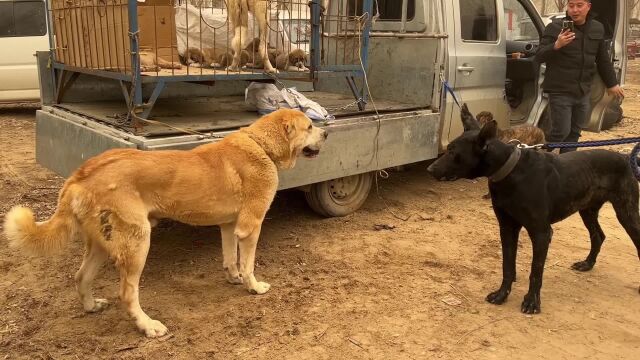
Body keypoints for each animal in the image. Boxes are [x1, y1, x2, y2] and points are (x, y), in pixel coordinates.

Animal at [2, 109, 328, 338]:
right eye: (309, 127)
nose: (326, 134)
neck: (260, 145)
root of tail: (82, 173)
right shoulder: (250, 226)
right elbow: (247, 263)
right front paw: (253, 287)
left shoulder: (228, 226)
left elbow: (230, 259)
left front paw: (233, 278)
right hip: (137, 243)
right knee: (127, 294)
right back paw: (147, 327)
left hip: (102, 245)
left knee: (81, 277)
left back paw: (92, 306)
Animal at [424, 108, 640, 314]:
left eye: (452, 151)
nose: (429, 169)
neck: (510, 171)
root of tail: (623, 157)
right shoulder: (507, 227)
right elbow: (507, 266)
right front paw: (502, 294)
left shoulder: (541, 233)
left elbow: (535, 271)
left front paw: (532, 302)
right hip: (587, 210)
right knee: (598, 235)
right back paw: (587, 264)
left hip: (627, 212)